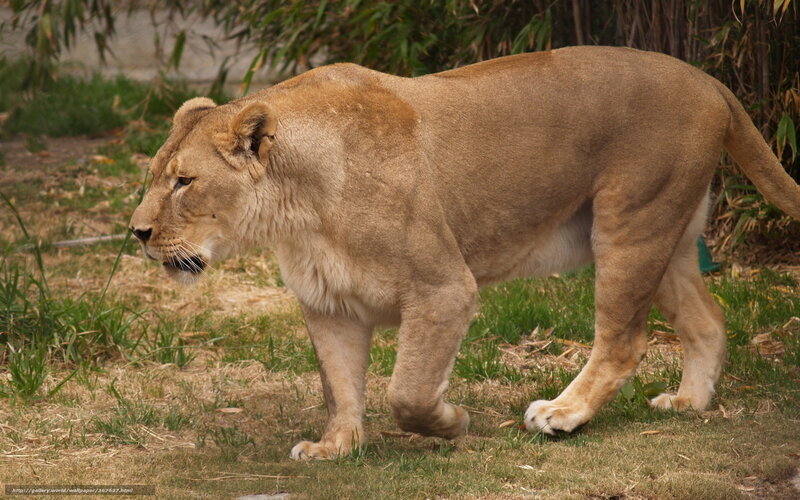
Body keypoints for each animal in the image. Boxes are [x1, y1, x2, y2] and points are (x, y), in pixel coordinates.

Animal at [130, 46, 800, 460]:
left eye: (184, 182)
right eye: (156, 175)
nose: (137, 233)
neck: (297, 212)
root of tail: (710, 80)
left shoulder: (442, 287)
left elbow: (409, 390)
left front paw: (452, 424)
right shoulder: (329, 304)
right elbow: (342, 387)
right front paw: (336, 447)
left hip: (629, 225)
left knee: (623, 341)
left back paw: (563, 413)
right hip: (668, 235)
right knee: (708, 320)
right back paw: (688, 403)